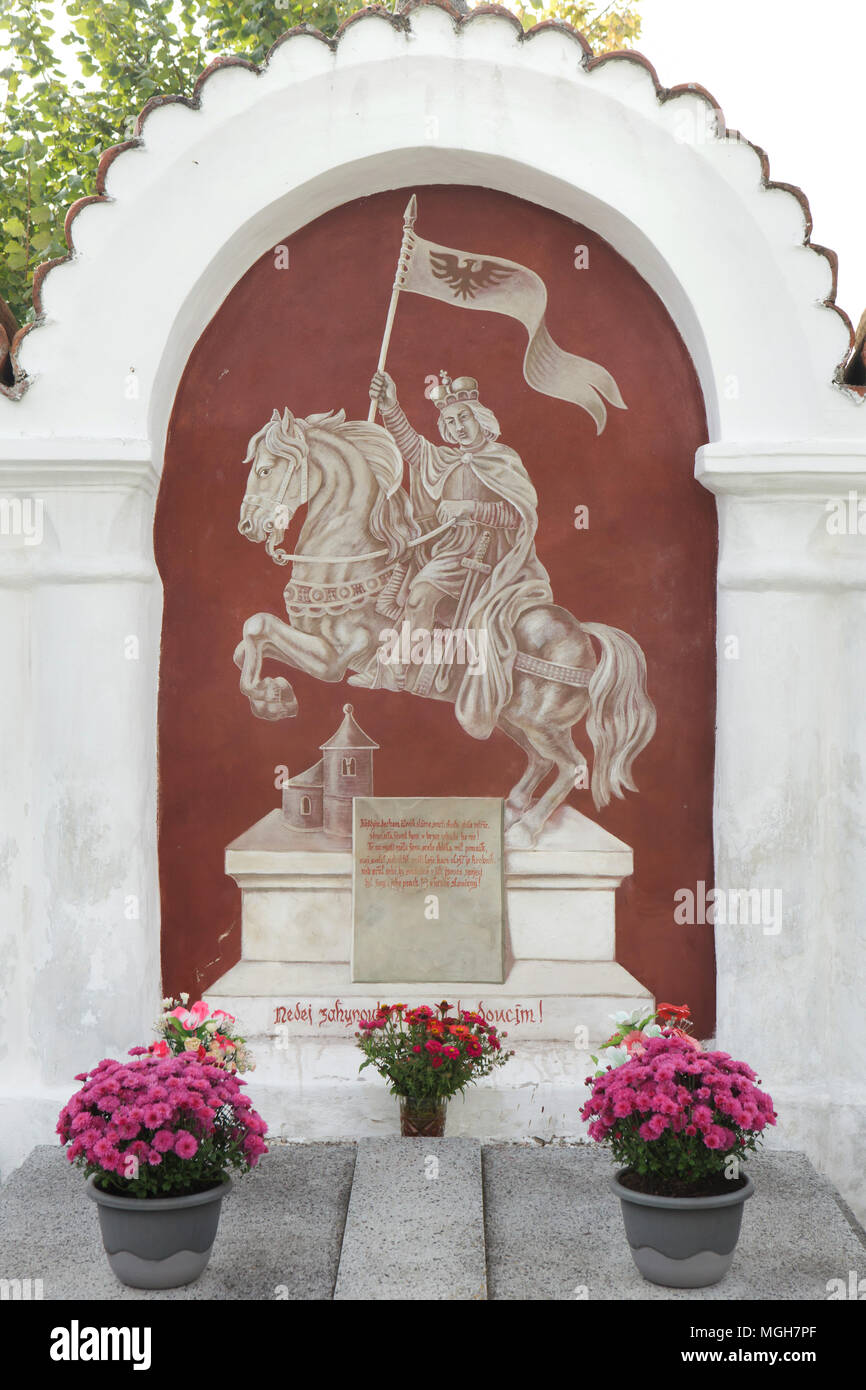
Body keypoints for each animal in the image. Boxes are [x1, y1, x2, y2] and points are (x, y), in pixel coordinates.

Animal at [233, 405, 653, 845]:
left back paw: (526, 830)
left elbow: (257, 626)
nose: (247, 527)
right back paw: (512, 811)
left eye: (265, 469)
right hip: (510, 716)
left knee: (572, 765)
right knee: (540, 760)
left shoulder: (332, 659)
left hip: (540, 722)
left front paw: (271, 697)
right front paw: (273, 696)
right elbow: (247, 641)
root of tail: (582, 634)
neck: (353, 558)